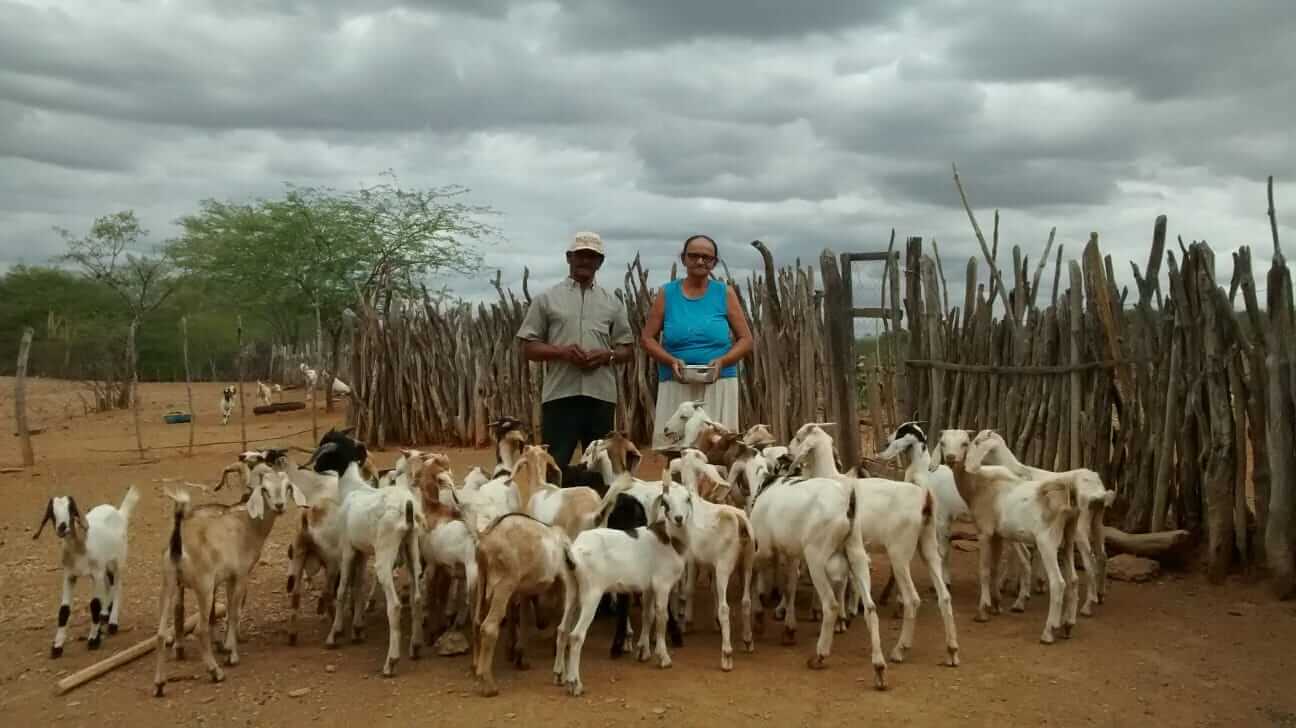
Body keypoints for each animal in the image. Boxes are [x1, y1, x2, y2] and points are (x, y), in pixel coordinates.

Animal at [35, 484, 139, 655]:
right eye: (52, 512)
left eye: (71, 509)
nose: (62, 527)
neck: (80, 547)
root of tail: (119, 512)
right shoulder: (70, 575)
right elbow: (64, 610)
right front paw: (57, 646)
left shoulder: (95, 574)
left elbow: (94, 605)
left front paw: (93, 640)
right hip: (104, 566)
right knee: (109, 584)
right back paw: (105, 614)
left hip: (118, 560)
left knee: (117, 586)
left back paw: (112, 623)